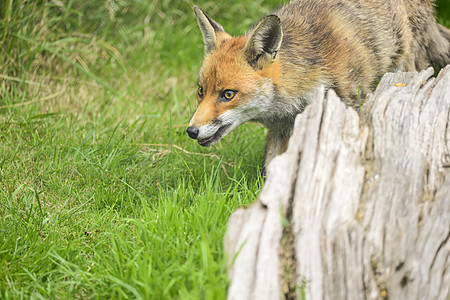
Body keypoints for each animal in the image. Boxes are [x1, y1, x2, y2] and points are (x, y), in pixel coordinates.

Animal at [185, 0, 448, 175]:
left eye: (228, 94)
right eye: (201, 91)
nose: (191, 131)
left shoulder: (353, 104)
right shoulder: (281, 128)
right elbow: (271, 171)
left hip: (406, 67)